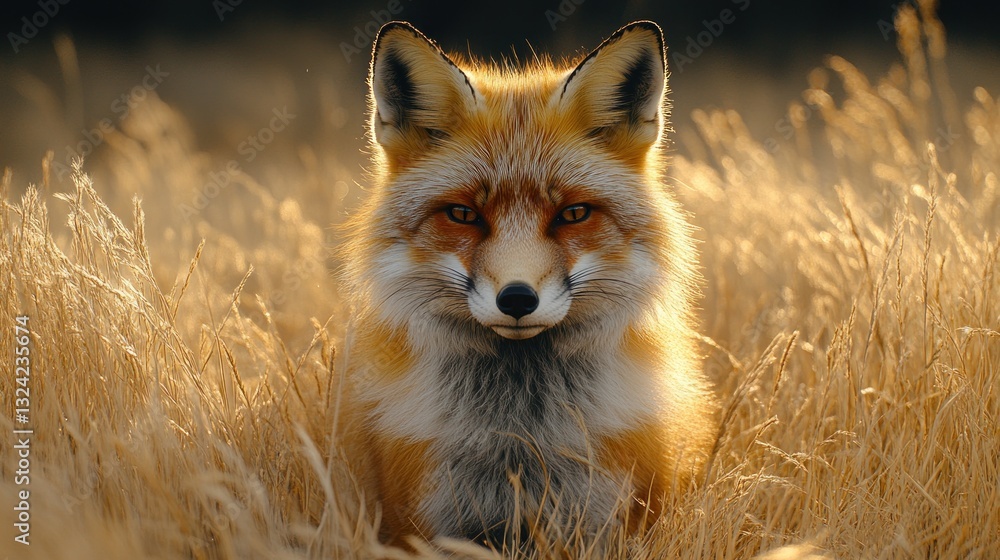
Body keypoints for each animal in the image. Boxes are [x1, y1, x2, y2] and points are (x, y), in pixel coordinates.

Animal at [340, 20, 718, 548]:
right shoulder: (422, 523)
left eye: (573, 214)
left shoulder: (618, 520)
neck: (521, 433)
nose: (517, 298)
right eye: (463, 215)